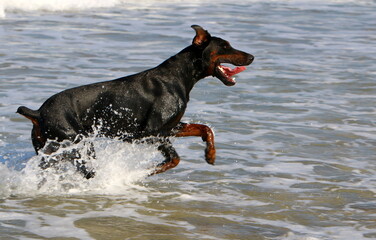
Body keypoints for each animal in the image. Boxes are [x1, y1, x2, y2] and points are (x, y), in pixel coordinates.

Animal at [16, 25, 254, 178]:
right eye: (225, 46)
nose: (252, 57)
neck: (180, 76)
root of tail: (38, 112)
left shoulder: (172, 126)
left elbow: (205, 129)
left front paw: (210, 154)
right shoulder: (151, 131)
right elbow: (174, 159)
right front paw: (147, 171)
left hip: (50, 147)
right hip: (78, 143)